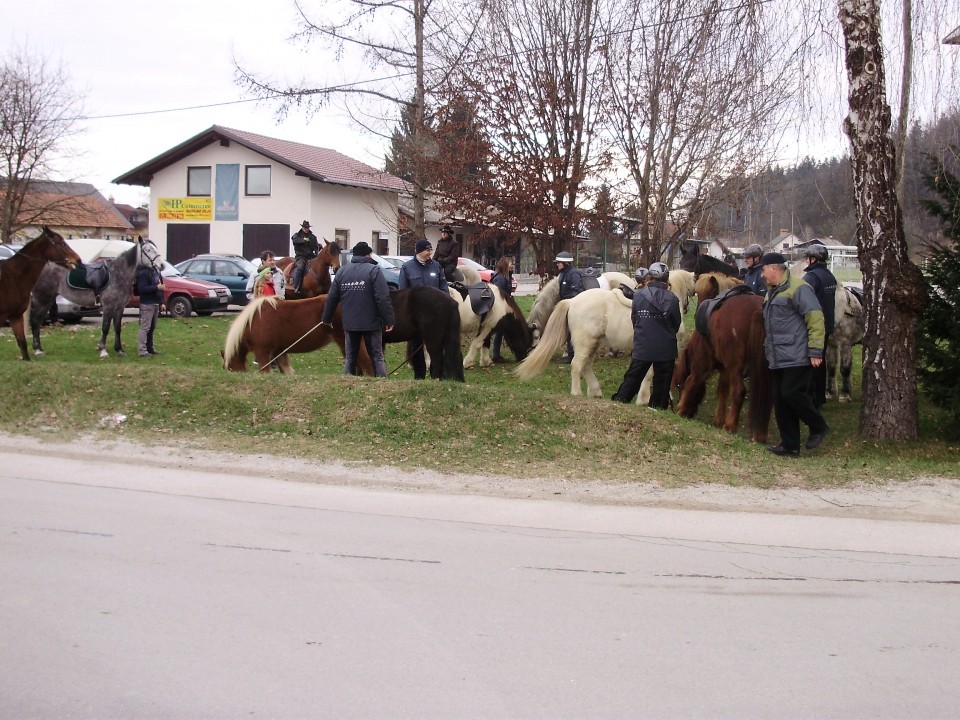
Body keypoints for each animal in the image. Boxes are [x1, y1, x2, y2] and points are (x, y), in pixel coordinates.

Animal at [30, 238, 161, 358]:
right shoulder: (108, 306)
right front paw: (103, 351)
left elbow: (117, 328)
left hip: (48, 300)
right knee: (35, 321)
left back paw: (38, 348)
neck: (119, 274)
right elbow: (105, 328)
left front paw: (119, 350)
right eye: (148, 250)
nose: (161, 264)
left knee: (38, 321)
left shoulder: (119, 307)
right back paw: (38, 350)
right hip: (41, 299)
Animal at [672, 294, 776, 444]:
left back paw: (730, 425)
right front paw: (718, 420)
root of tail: (758, 309)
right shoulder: (725, 369)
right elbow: (722, 391)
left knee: (739, 391)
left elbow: (691, 381)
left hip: (735, 365)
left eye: (679, 385)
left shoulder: (703, 363)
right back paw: (759, 435)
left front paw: (680, 409)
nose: (689, 414)